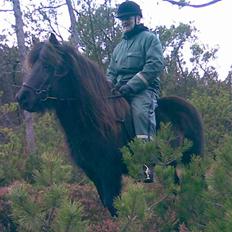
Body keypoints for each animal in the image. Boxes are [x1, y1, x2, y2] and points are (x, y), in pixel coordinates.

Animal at [16, 33, 204, 217]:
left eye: (48, 66)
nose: (22, 97)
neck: (95, 121)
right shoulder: (94, 173)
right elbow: (107, 205)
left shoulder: (110, 172)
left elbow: (113, 205)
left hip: (192, 158)